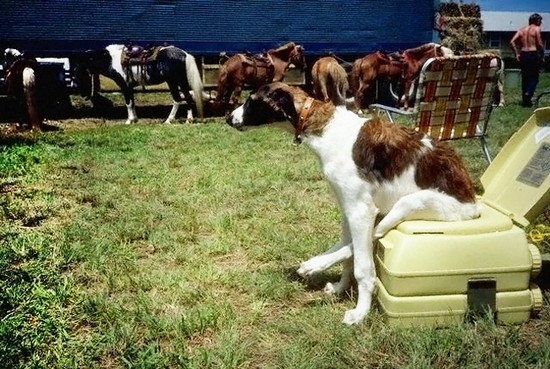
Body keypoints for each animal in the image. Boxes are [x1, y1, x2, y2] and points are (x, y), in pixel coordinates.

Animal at [73, 43, 203, 124]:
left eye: (83, 63)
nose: (75, 84)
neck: (111, 60)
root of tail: (185, 54)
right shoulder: (129, 87)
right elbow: (132, 103)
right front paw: (134, 119)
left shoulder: (124, 86)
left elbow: (128, 103)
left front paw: (128, 121)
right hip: (181, 82)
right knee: (187, 98)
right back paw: (188, 120)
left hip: (174, 82)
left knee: (178, 99)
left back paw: (169, 120)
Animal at [226, 82, 480, 324]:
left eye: (251, 101)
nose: (228, 118)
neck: (327, 130)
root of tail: (473, 202)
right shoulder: (346, 206)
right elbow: (351, 258)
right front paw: (341, 288)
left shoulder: (360, 210)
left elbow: (362, 268)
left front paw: (360, 313)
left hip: (414, 203)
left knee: (374, 235)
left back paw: (315, 264)